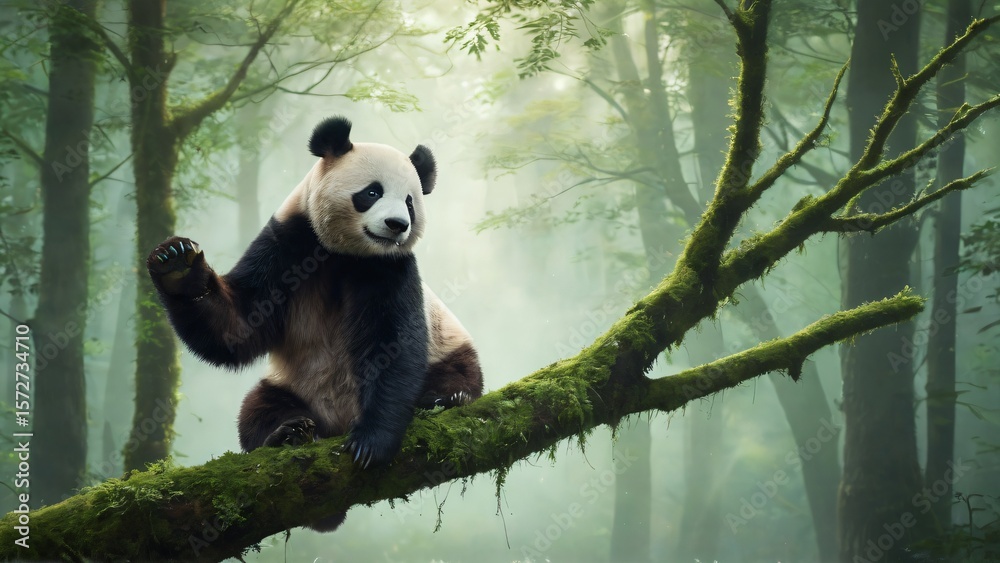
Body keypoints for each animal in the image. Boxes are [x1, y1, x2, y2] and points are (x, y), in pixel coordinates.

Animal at [146, 116, 483, 472]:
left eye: (409, 202)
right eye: (372, 192)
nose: (397, 225)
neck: (344, 253)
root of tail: (336, 421)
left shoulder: (391, 268)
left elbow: (393, 343)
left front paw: (371, 441)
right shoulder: (287, 243)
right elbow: (240, 323)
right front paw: (176, 265)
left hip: (447, 347)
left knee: (457, 373)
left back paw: (447, 398)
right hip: (290, 383)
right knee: (258, 408)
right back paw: (287, 431)